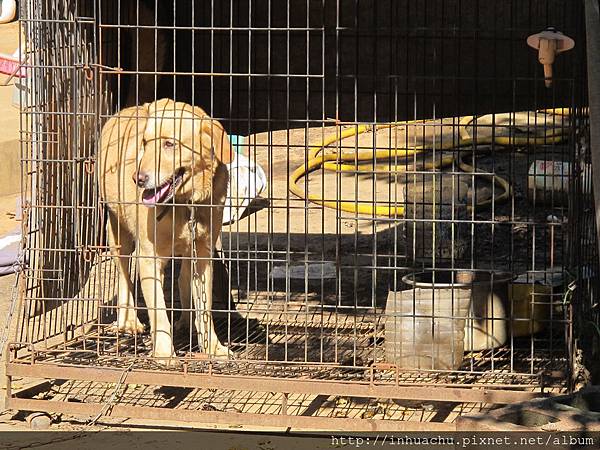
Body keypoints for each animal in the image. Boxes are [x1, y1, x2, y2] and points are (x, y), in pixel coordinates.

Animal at [99, 99, 231, 362]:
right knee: (125, 278)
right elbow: (158, 309)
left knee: (180, 280)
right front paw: (163, 352)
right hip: (119, 235)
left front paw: (212, 347)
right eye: (145, 143)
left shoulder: (203, 254)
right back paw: (128, 321)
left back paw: (186, 321)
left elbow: (205, 308)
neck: (185, 203)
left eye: (170, 144)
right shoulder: (148, 255)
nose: (138, 178)